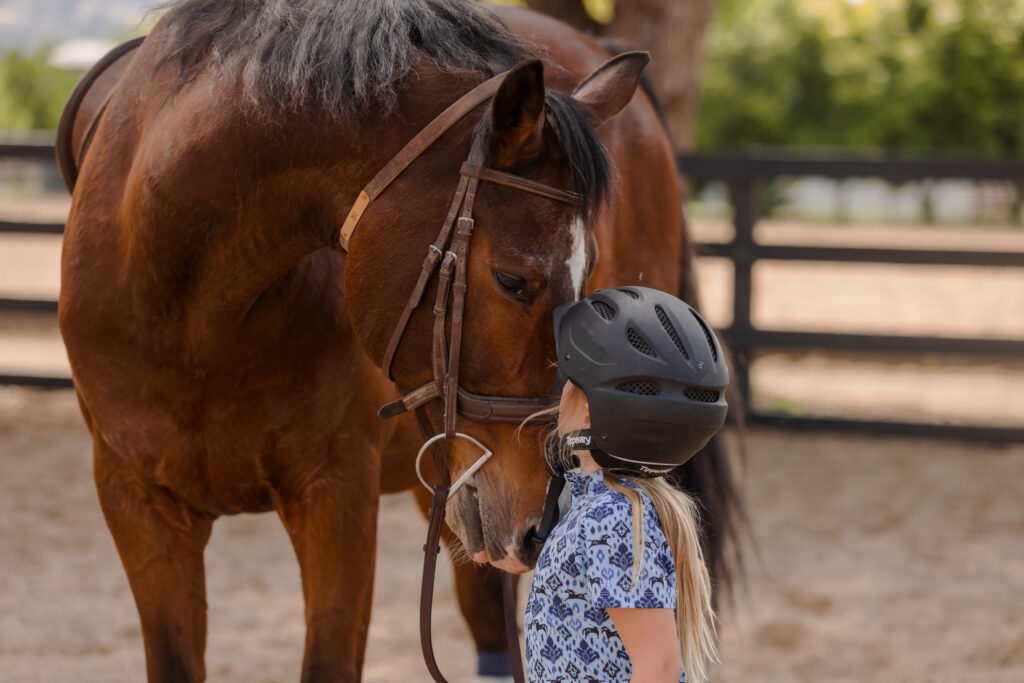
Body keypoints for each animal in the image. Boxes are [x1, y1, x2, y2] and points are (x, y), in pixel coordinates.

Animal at [56, 1, 741, 681]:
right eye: (513, 281)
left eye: (591, 277)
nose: (540, 519)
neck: (191, 317)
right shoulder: (136, 505)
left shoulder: (337, 497)